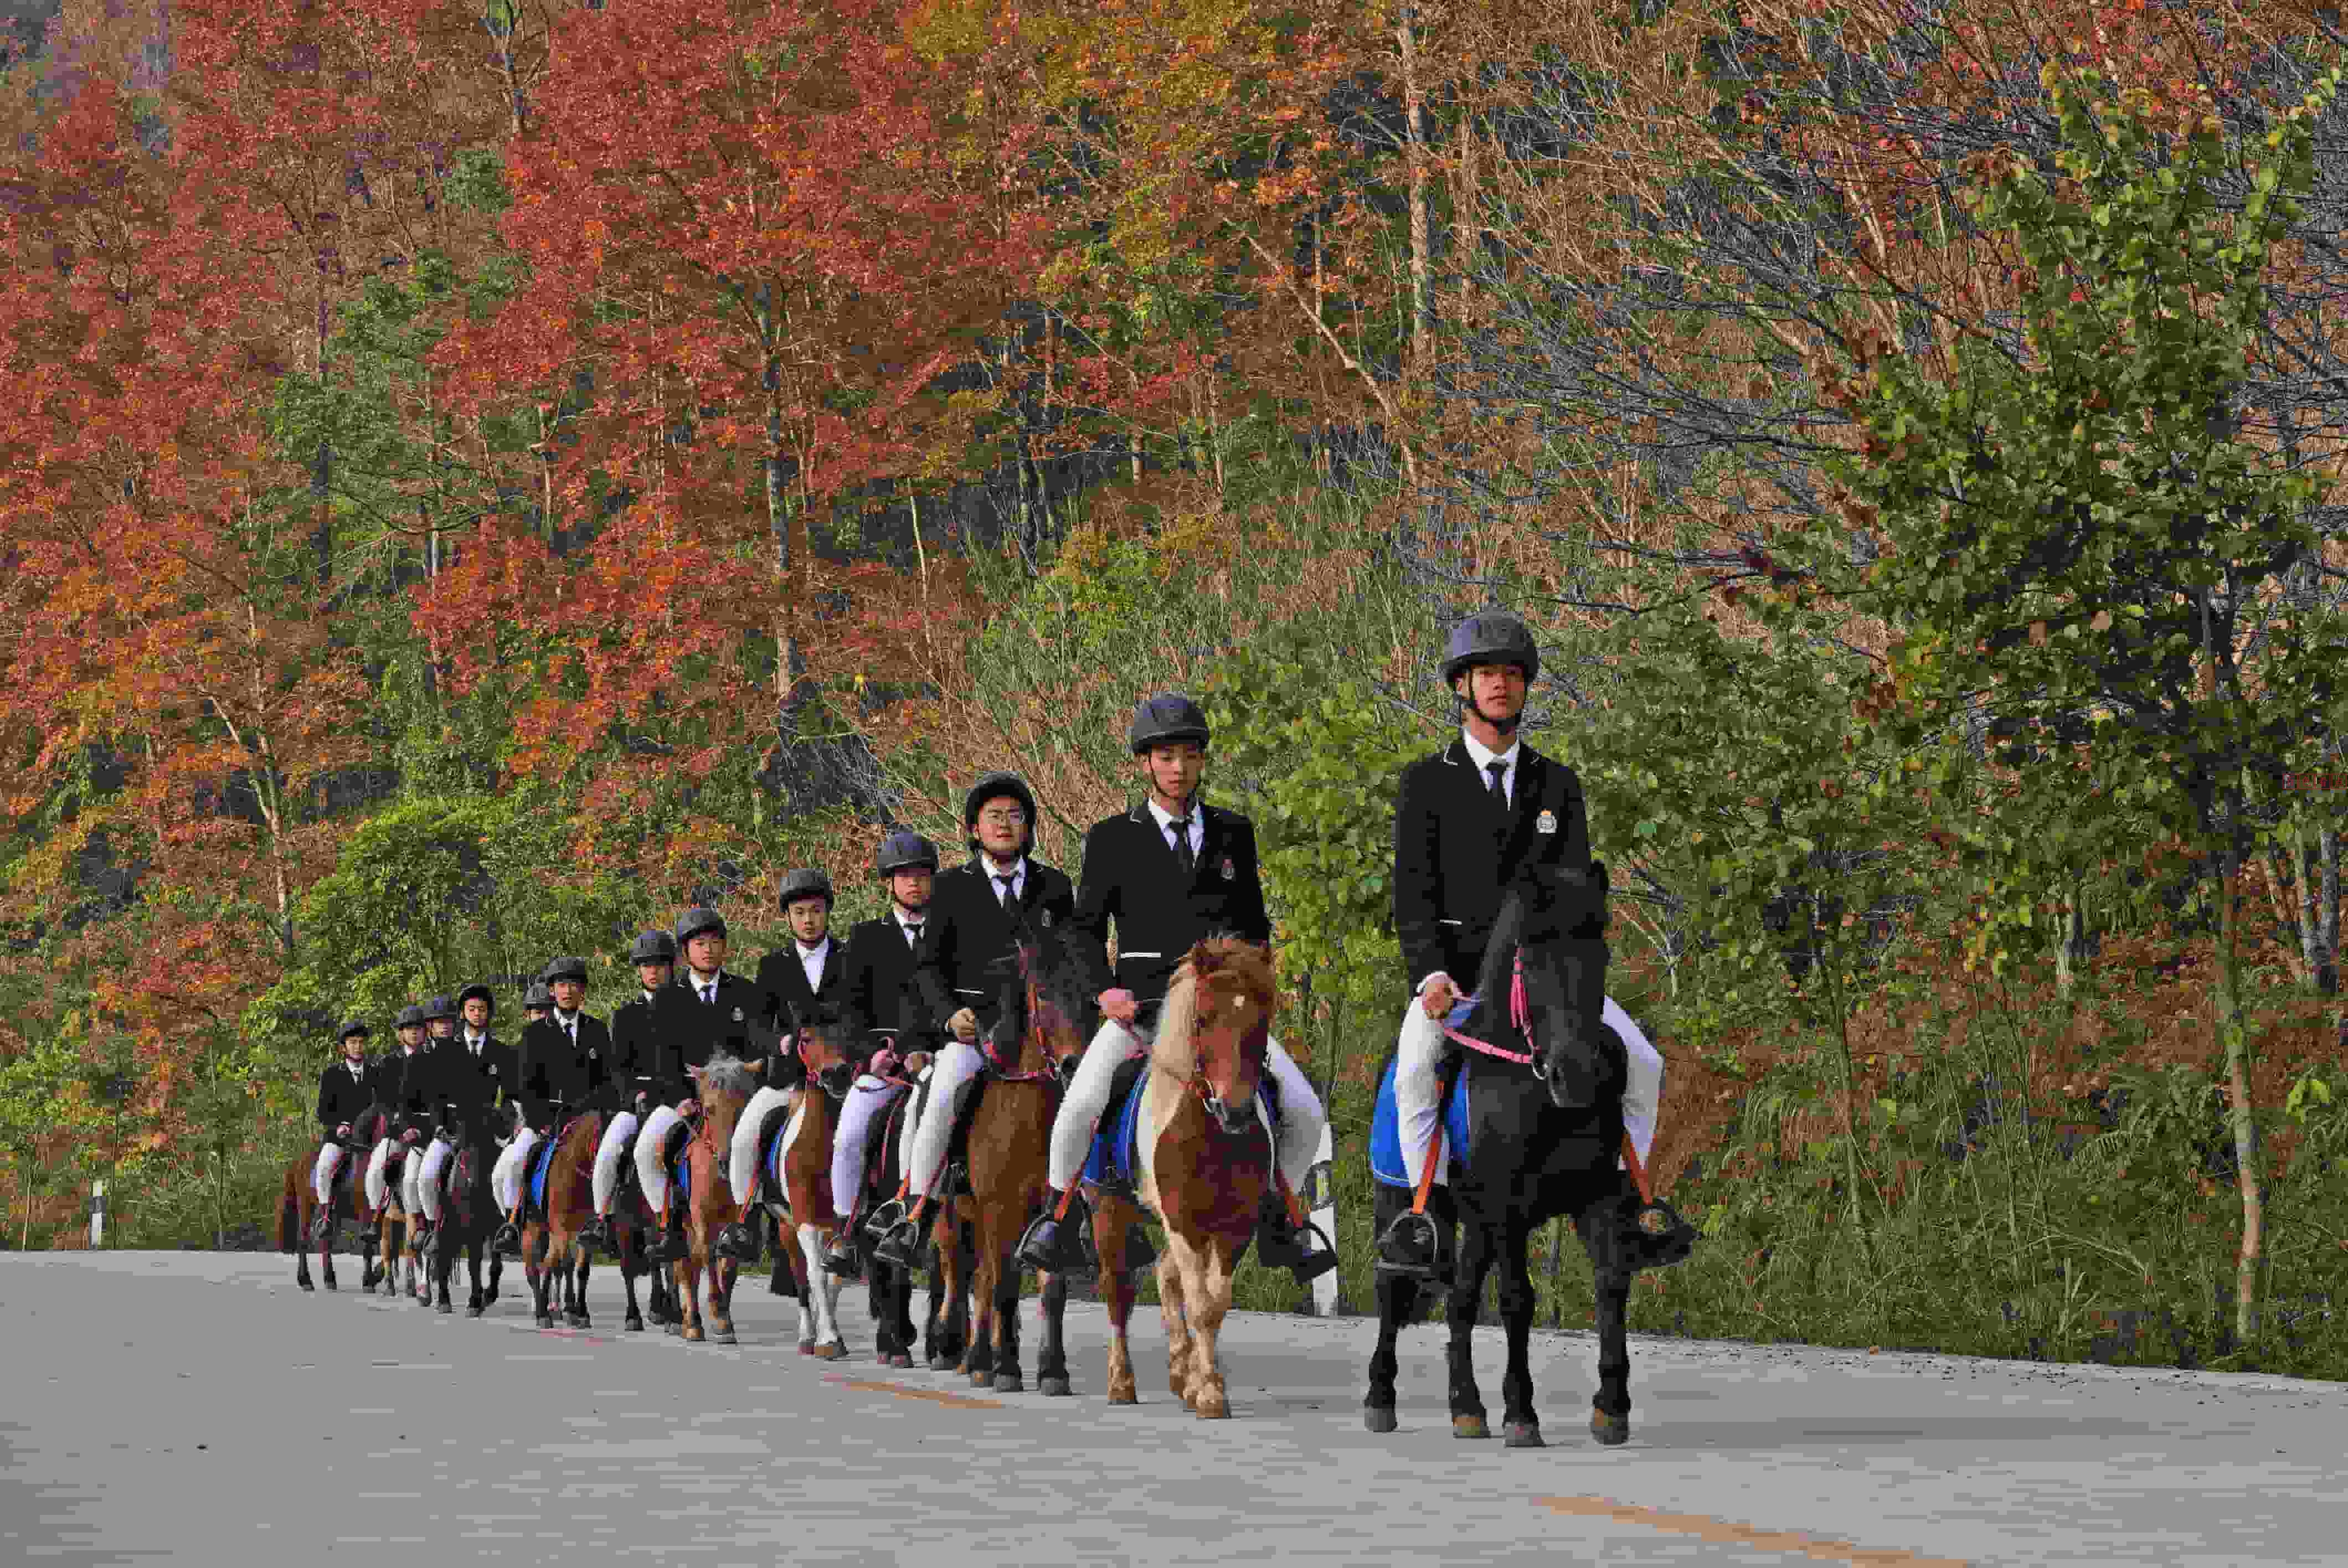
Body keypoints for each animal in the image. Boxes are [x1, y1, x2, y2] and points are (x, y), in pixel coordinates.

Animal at [276, 1098, 392, 1296]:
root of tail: (299, 1161)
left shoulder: (381, 1214)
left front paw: (375, 1277)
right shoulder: (365, 1212)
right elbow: (368, 1247)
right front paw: (368, 1282)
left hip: (332, 1212)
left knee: (326, 1240)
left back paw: (330, 1280)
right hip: (306, 1204)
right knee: (303, 1240)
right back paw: (306, 1281)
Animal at [676, 1051, 756, 1352]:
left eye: (744, 1107)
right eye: (709, 1110)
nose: (726, 1162)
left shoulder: (737, 1220)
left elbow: (728, 1264)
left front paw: (724, 1317)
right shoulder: (701, 1219)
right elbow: (709, 1259)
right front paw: (716, 1317)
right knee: (684, 1266)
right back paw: (692, 1322)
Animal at [925, 925, 1089, 1389]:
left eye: (1090, 993)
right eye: (1044, 993)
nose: (1074, 1065)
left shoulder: (1053, 1214)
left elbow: (1051, 1291)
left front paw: (1053, 1371)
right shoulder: (1001, 1208)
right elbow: (1002, 1286)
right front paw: (1006, 1369)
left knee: (980, 1278)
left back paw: (979, 1357)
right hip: (954, 1217)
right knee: (962, 1274)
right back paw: (962, 1352)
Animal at [1089, 938, 1277, 1417]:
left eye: (1261, 1021)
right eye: (1203, 1018)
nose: (1235, 1112)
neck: (1209, 1135)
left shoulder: (1233, 1228)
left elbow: (1214, 1305)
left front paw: (1203, 1384)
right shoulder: (1183, 1222)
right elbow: (1200, 1304)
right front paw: (1209, 1392)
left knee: (1164, 1272)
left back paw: (1180, 1368)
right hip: (1109, 1211)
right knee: (1118, 1291)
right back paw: (1122, 1382)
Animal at [1371, 864, 1700, 1455]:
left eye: (1600, 950)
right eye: (1531, 958)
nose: (1580, 1076)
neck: (1535, 1089)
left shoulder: (1596, 1199)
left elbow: (1611, 1285)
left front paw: (1610, 1408)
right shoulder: (1509, 1210)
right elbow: (1517, 1300)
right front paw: (1522, 1414)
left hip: (1478, 1224)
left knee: (1460, 1300)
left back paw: (1467, 1409)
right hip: (1404, 1201)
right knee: (1393, 1288)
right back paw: (1380, 1398)